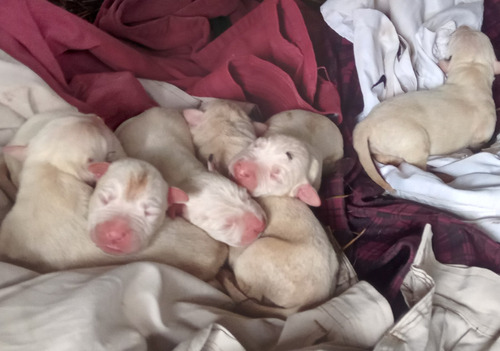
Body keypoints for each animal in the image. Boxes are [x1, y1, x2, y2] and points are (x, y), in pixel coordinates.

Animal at [352, 25, 500, 191]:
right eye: (456, 35)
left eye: (473, 32)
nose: (464, 26)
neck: (471, 70)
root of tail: (365, 124)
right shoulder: (481, 136)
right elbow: (478, 145)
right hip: (414, 141)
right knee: (416, 166)